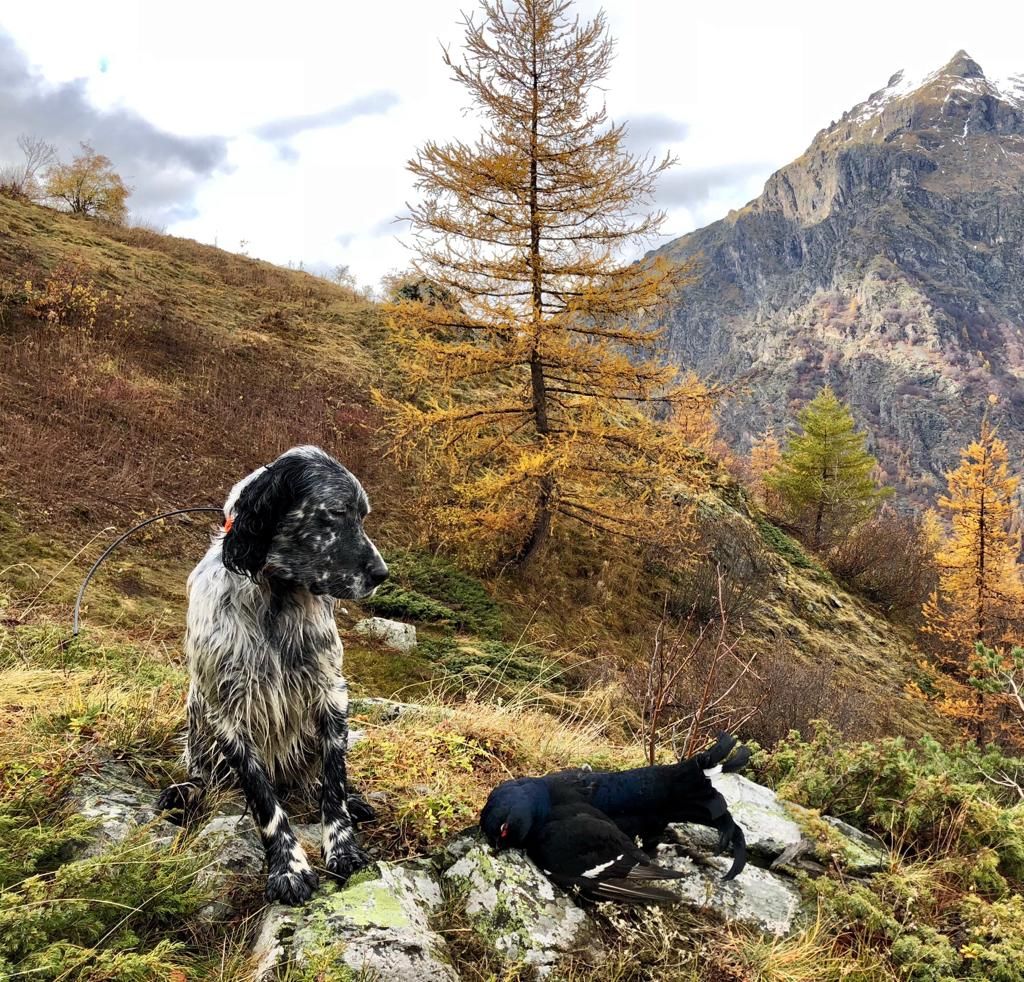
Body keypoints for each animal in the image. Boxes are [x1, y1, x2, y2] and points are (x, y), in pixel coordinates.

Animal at [159, 446, 387, 905]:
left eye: (363, 515)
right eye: (336, 513)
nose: (381, 574)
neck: (277, 599)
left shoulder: (329, 692)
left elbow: (333, 783)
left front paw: (343, 849)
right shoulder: (228, 708)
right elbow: (263, 798)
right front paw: (289, 867)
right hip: (197, 716)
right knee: (203, 774)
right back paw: (186, 790)